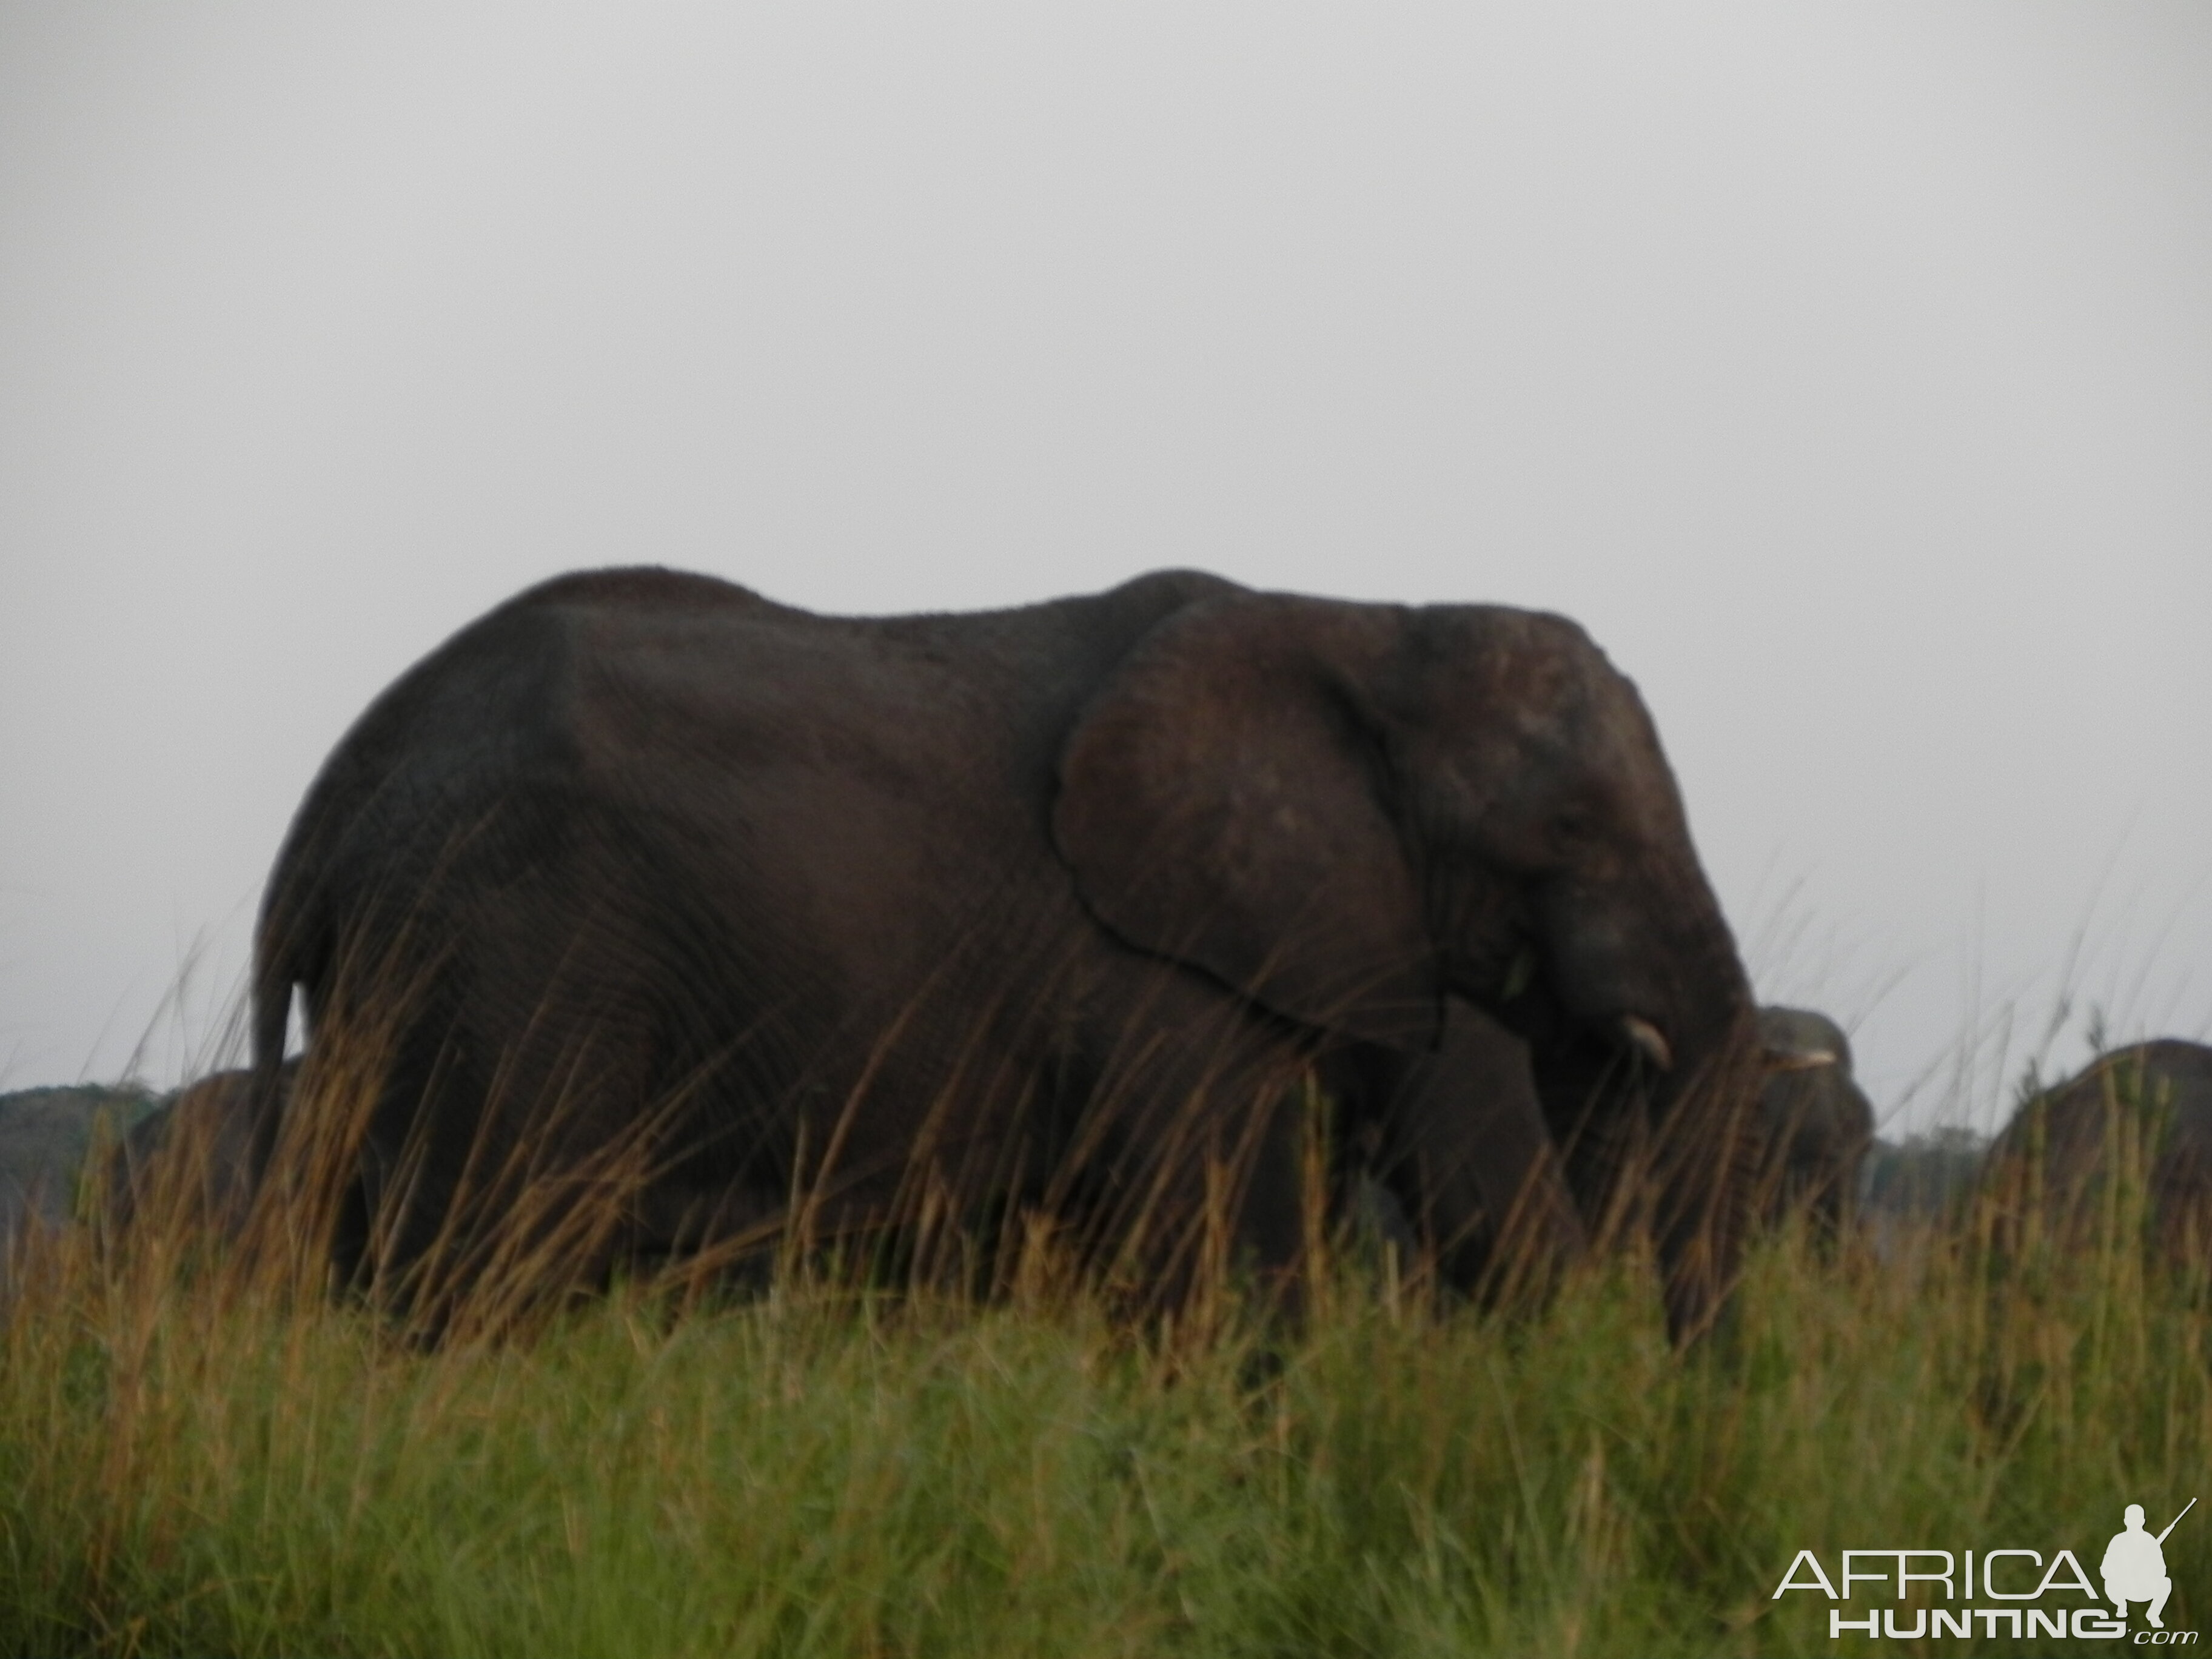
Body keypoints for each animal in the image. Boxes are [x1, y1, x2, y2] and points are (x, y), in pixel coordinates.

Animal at [242, 571, 1760, 1336]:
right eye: (1569, 825)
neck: (1364, 623)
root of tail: (329, 799)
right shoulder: (1154, 980)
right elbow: (1231, 1257)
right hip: (509, 957)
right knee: (479, 1278)